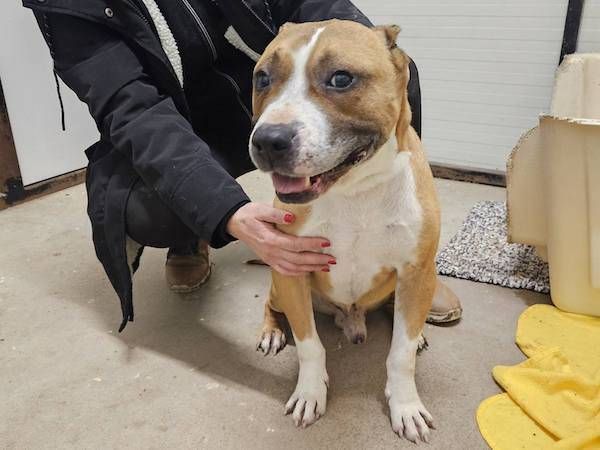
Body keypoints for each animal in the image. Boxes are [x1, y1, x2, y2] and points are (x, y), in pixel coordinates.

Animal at [249, 20, 451, 443]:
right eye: (262, 78)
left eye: (341, 78)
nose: (268, 140)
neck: (354, 189)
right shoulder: (291, 271)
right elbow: (309, 346)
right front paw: (310, 393)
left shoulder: (417, 271)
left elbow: (401, 354)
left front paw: (405, 405)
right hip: (278, 283)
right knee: (271, 305)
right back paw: (272, 330)